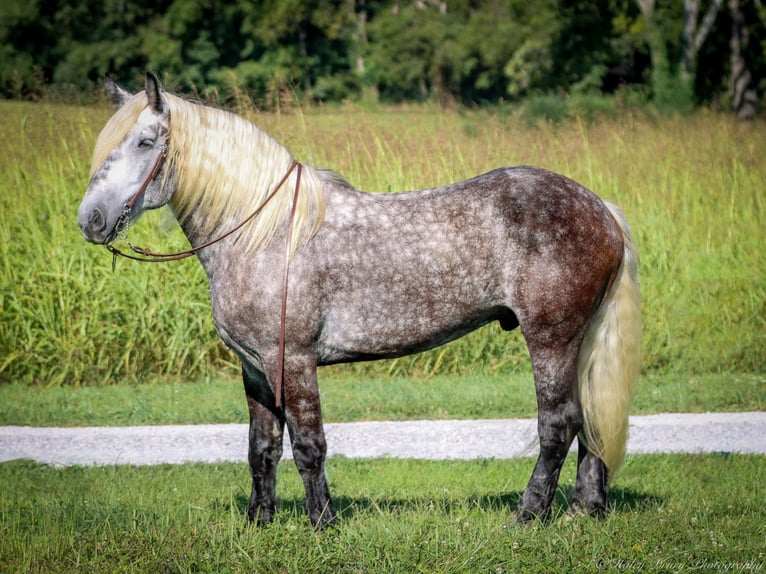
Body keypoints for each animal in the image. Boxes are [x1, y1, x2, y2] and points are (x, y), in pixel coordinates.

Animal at [78, 73, 640, 532]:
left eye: (145, 141)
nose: (91, 220)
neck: (266, 233)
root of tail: (601, 208)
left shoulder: (293, 361)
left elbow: (308, 445)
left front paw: (322, 522)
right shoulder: (256, 368)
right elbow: (262, 448)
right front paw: (259, 522)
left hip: (551, 339)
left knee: (559, 424)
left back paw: (529, 514)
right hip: (579, 341)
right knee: (589, 419)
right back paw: (583, 510)